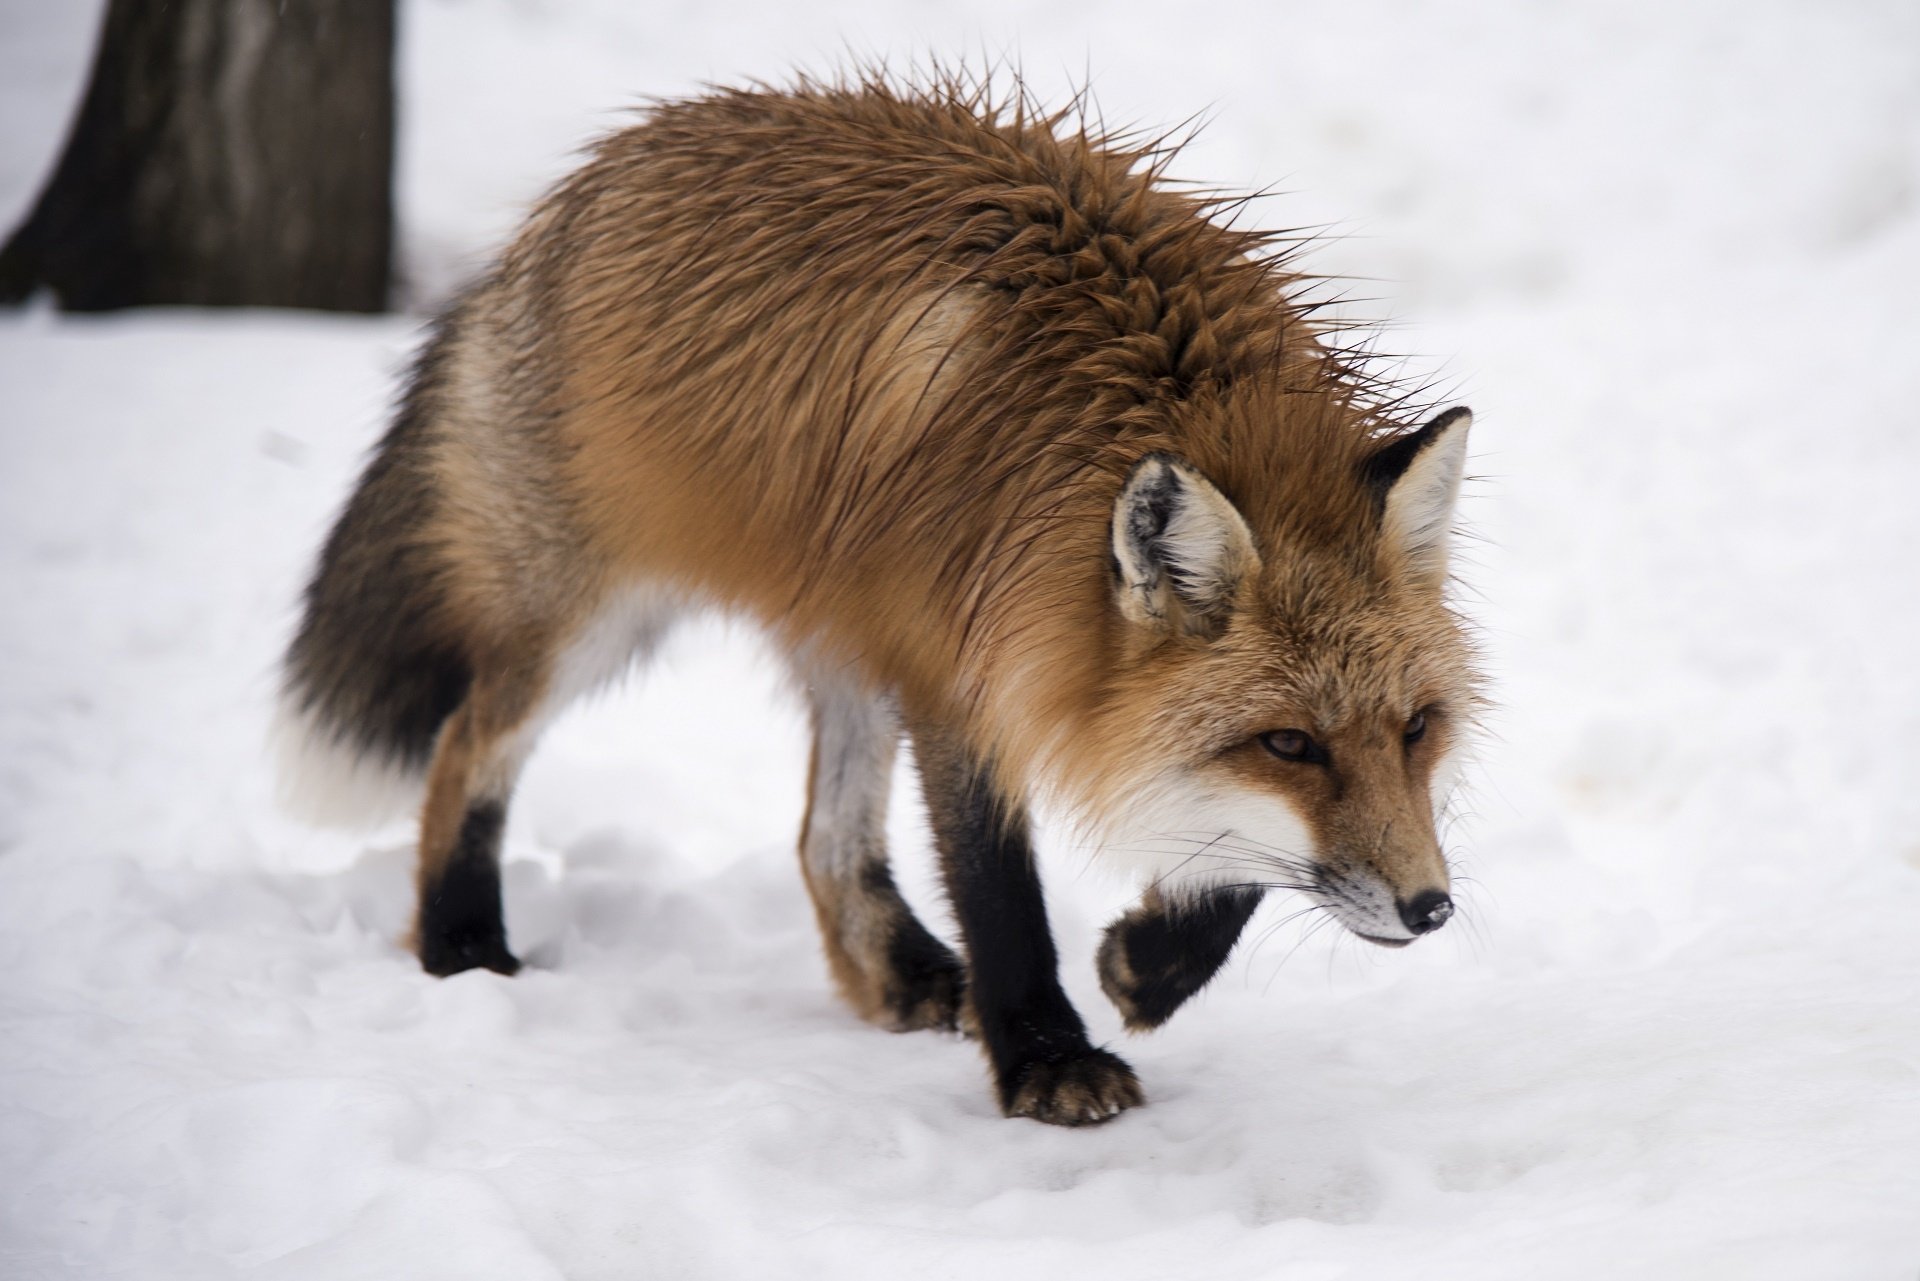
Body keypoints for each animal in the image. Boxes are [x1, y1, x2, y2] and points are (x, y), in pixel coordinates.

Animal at [277, 72, 1478, 1127]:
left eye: (1418, 729)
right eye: (1289, 745)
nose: (1434, 910)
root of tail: (592, 173)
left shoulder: (1045, 671)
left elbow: (1234, 862)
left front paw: (1147, 965)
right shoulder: (968, 669)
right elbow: (1001, 890)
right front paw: (1045, 1059)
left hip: (849, 638)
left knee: (821, 837)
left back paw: (892, 973)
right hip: (592, 618)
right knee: (467, 746)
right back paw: (460, 944)